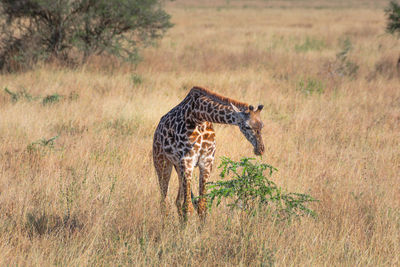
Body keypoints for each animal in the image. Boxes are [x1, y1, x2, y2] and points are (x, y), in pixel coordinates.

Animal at [153, 86, 266, 222]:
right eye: (247, 126)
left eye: (262, 125)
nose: (260, 149)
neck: (199, 117)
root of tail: (157, 129)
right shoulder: (187, 161)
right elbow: (188, 208)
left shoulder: (206, 162)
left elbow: (202, 206)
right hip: (162, 163)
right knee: (164, 201)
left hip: (178, 168)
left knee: (177, 201)